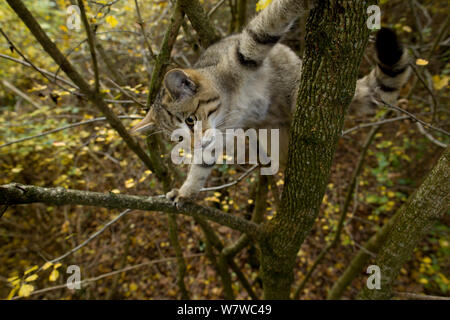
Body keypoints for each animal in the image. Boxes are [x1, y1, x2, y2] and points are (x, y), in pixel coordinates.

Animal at [130, 0, 412, 205]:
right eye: (177, 137)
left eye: (190, 120)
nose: (194, 143)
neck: (229, 104)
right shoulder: (218, 135)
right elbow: (200, 166)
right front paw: (186, 191)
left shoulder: (246, 51)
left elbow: (270, 21)